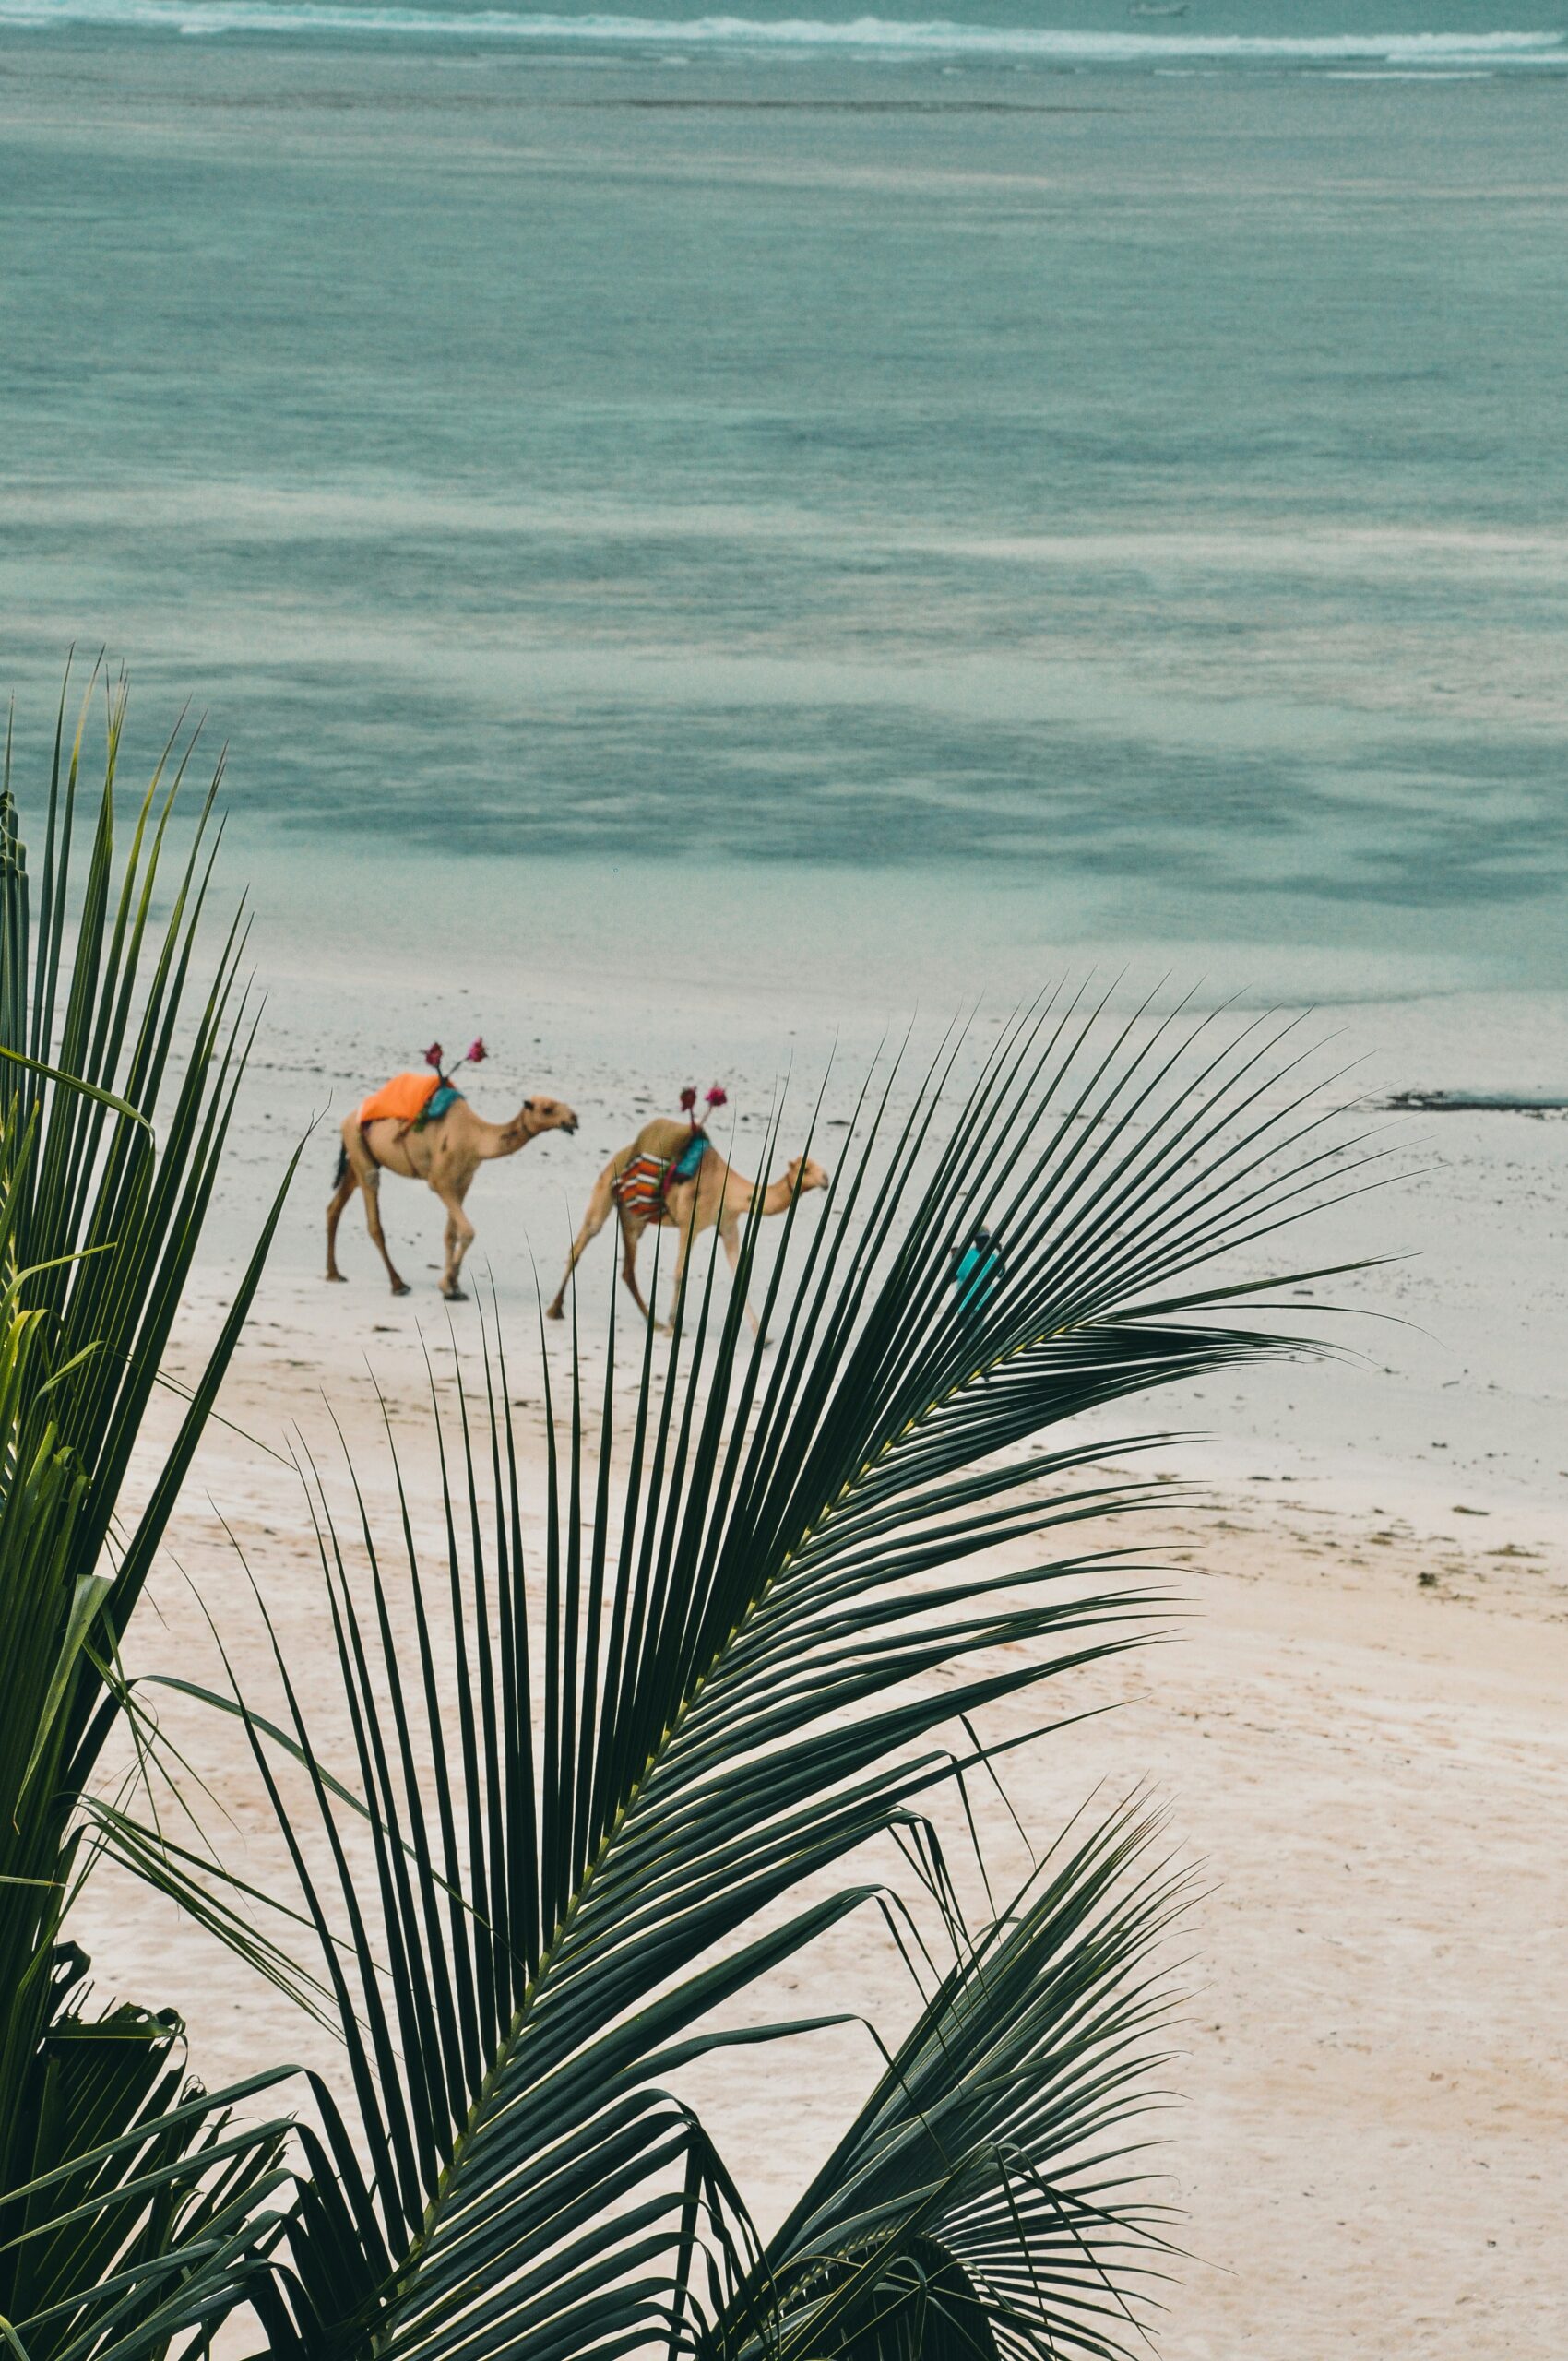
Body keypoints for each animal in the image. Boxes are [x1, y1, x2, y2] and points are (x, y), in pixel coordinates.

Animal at [326, 1088, 578, 1300]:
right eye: (547, 1108)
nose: (574, 1119)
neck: (475, 1138)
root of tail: (347, 1119)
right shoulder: (440, 1181)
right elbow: (467, 1231)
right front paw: (447, 1285)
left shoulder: (463, 1181)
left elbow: (451, 1234)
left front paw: (454, 1286)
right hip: (360, 1149)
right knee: (373, 1215)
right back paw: (398, 1284)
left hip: (359, 1158)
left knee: (334, 1206)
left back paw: (333, 1273)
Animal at [546, 1116, 830, 1336]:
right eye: (806, 1169)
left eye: (820, 1167)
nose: (827, 1179)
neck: (727, 1189)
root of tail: (622, 1154)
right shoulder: (689, 1223)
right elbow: (680, 1272)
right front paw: (674, 1325)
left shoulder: (728, 1225)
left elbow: (740, 1275)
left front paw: (763, 1335)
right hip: (606, 1189)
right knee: (583, 1241)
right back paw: (555, 1309)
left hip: (633, 1218)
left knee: (627, 1269)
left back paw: (653, 1322)